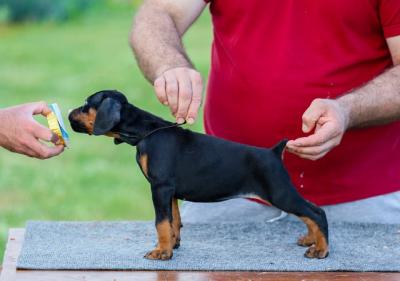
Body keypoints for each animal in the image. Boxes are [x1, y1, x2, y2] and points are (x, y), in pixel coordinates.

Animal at [69, 89, 330, 258]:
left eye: (85, 104)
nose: (70, 114)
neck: (145, 132)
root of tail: (274, 152)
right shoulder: (170, 191)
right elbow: (173, 220)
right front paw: (173, 245)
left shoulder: (160, 187)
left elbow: (161, 222)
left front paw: (161, 252)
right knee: (311, 210)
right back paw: (310, 240)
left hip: (277, 191)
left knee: (316, 212)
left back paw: (321, 250)